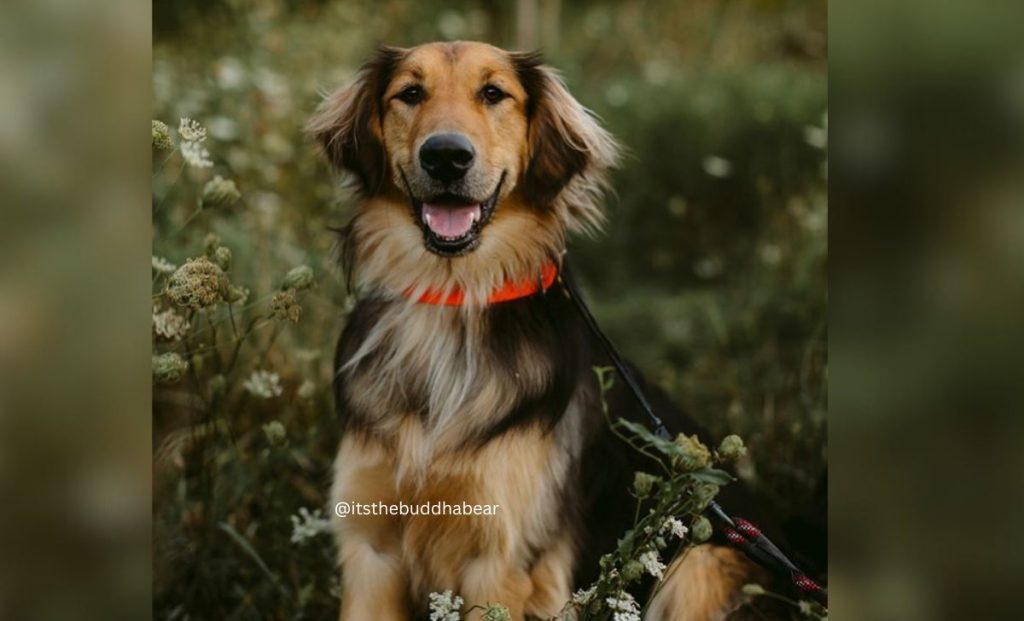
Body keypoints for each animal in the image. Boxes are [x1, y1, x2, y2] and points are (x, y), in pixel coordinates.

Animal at [307, 41, 778, 618]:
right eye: (410, 93)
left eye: (493, 93)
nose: (446, 156)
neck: (453, 297)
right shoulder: (369, 548)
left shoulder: (502, 562)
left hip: (699, 568)